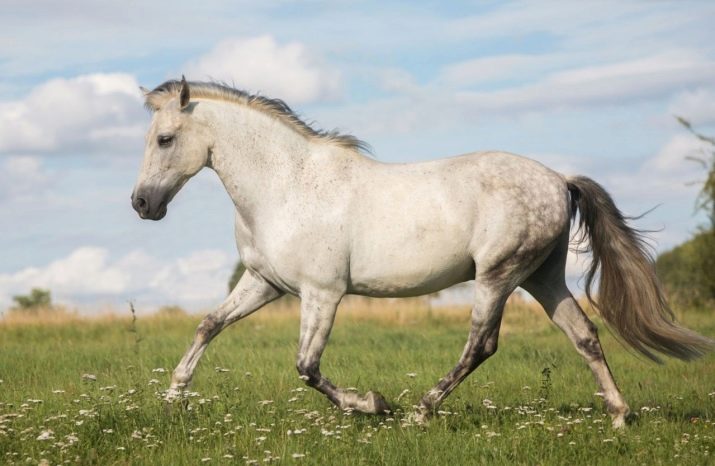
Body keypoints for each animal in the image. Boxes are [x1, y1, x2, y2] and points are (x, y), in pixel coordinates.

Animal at [131, 77, 712, 430]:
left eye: (164, 139)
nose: (141, 204)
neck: (286, 185)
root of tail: (558, 179)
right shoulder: (264, 283)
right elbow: (209, 325)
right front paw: (172, 399)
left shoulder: (322, 293)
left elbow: (307, 366)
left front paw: (371, 404)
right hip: (542, 278)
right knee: (585, 335)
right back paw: (619, 417)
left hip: (497, 276)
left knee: (481, 345)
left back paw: (420, 411)